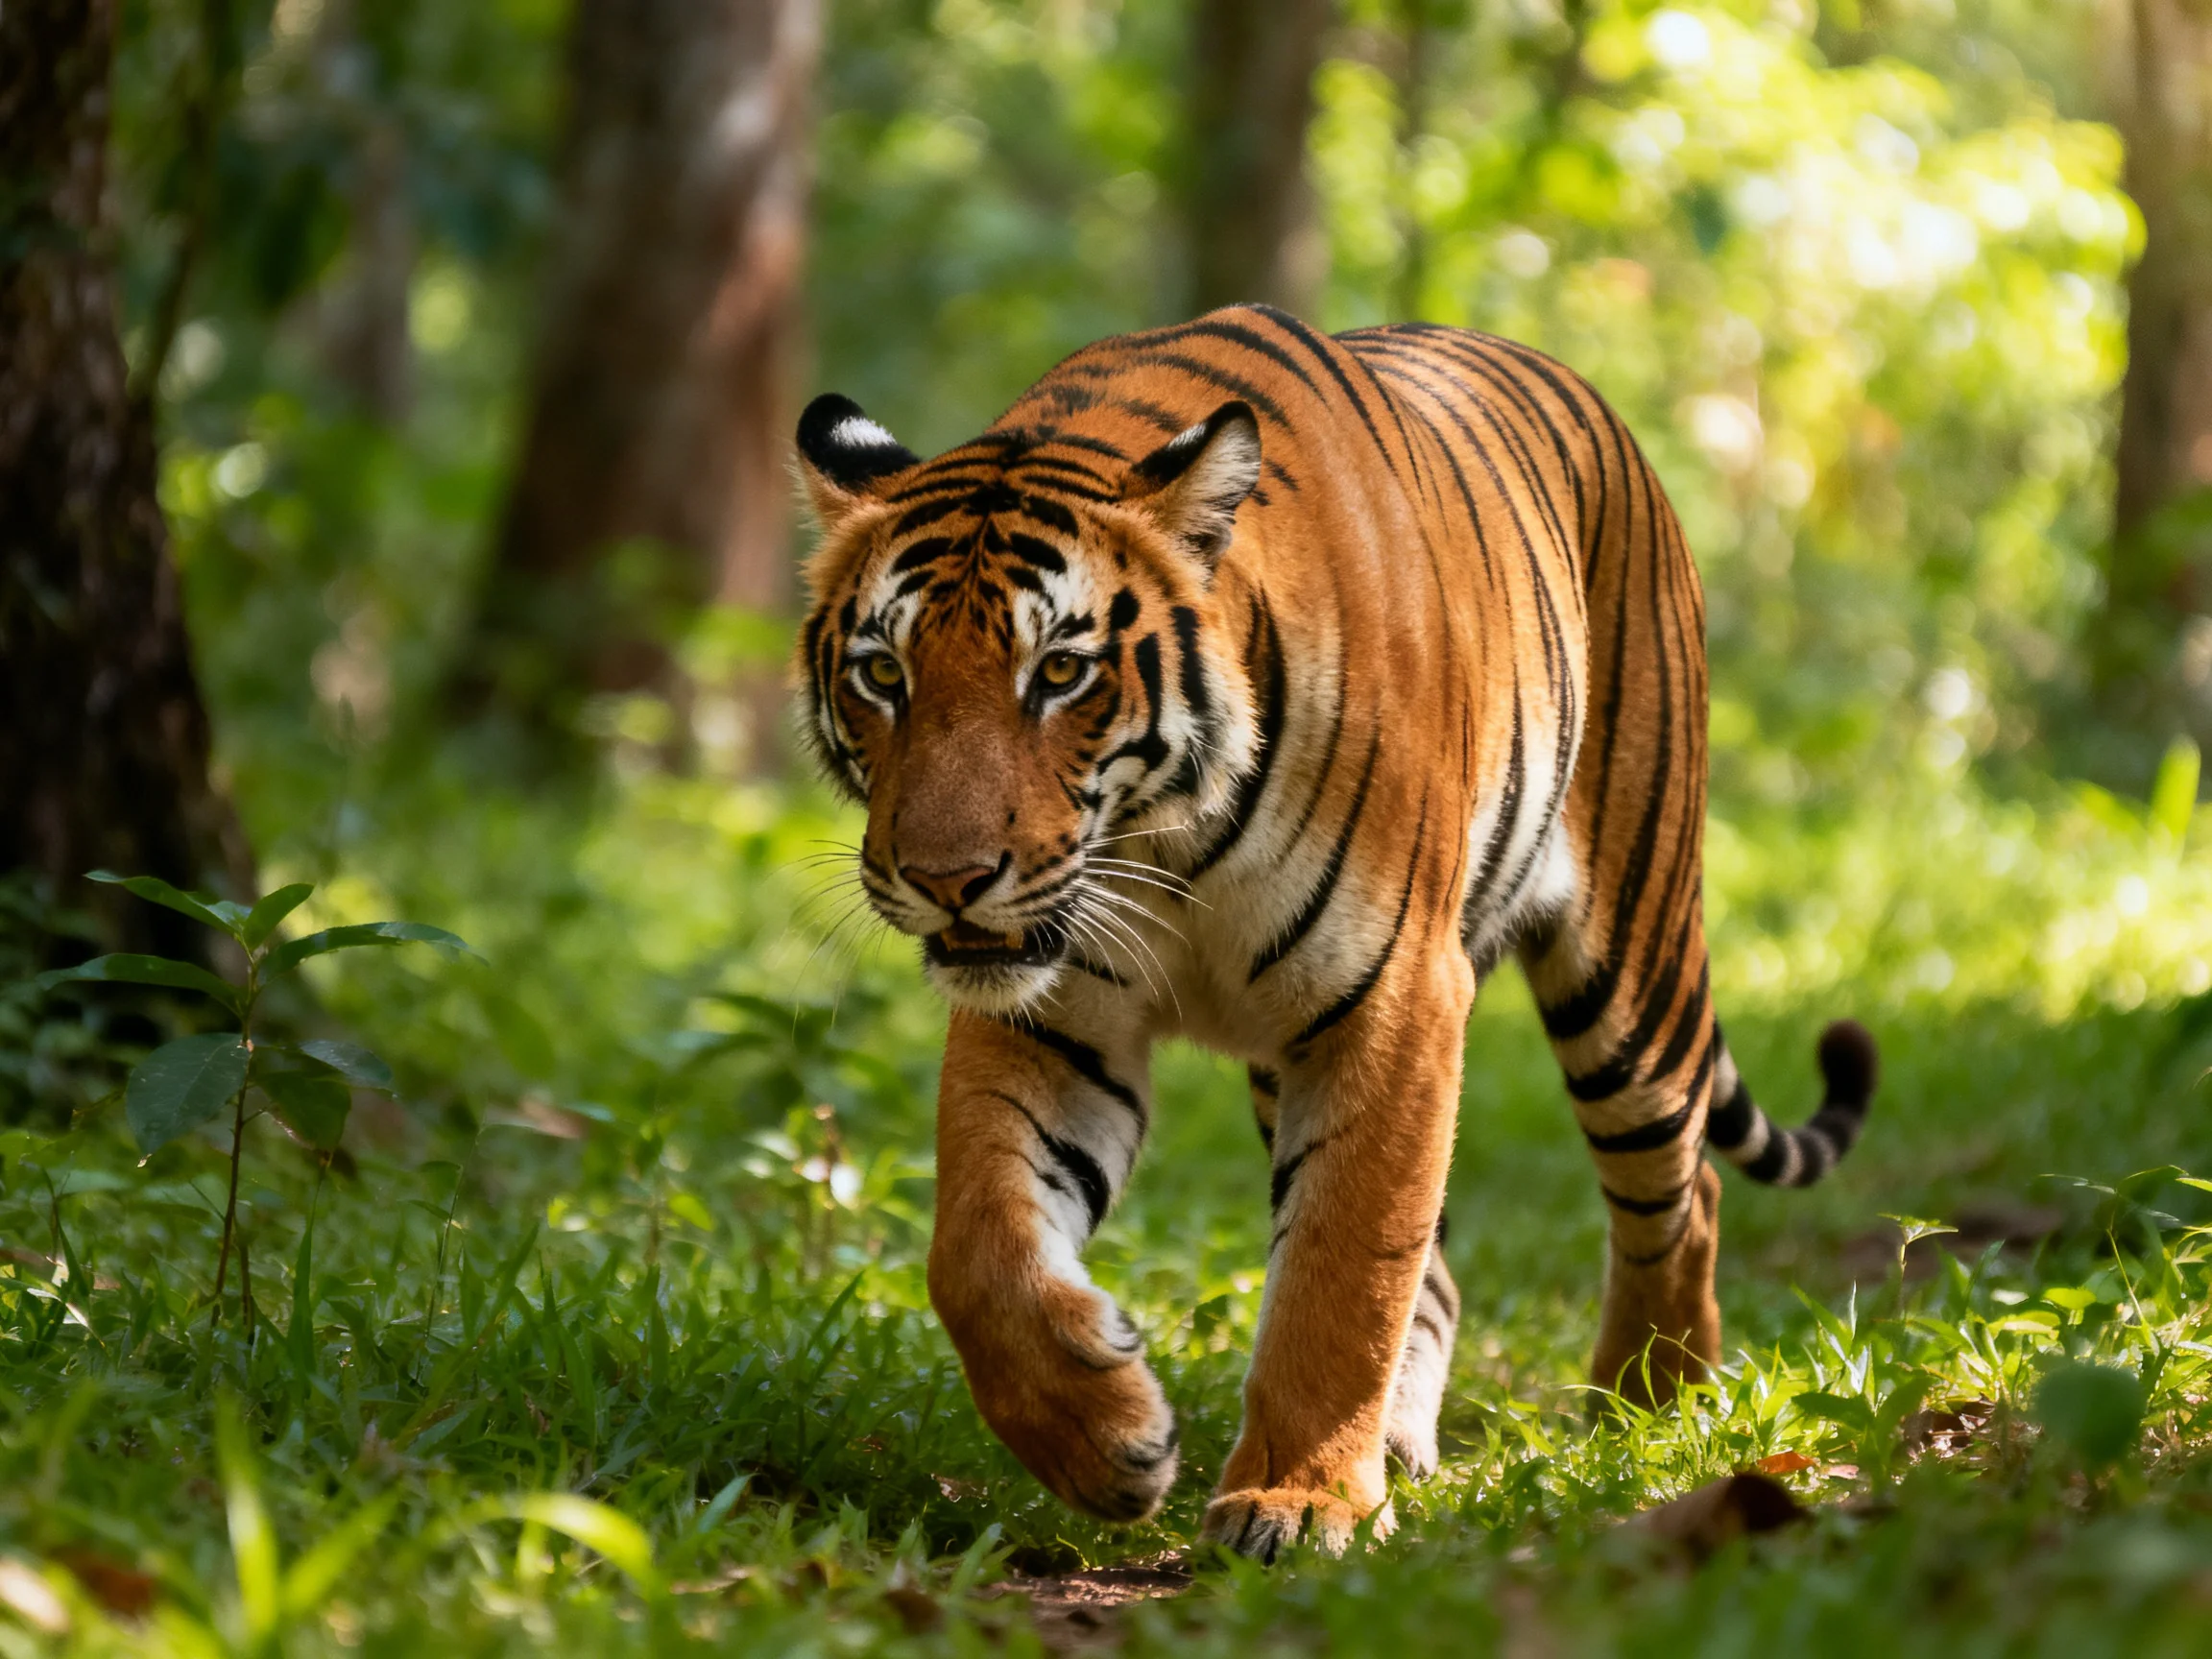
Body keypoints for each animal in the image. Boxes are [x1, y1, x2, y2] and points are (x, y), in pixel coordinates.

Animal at [791, 304, 1875, 1561]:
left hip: (1630, 970)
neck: (1163, 838)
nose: (947, 879)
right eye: (883, 673)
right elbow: (976, 1249)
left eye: (1058, 671)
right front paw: (1106, 1444)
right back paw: (1411, 1443)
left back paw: (1651, 1406)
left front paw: (1299, 1501)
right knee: (1449, 1271)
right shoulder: (1053, 1010)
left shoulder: (1397, 997)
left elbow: (1344, 1264)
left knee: (1680, 1187)